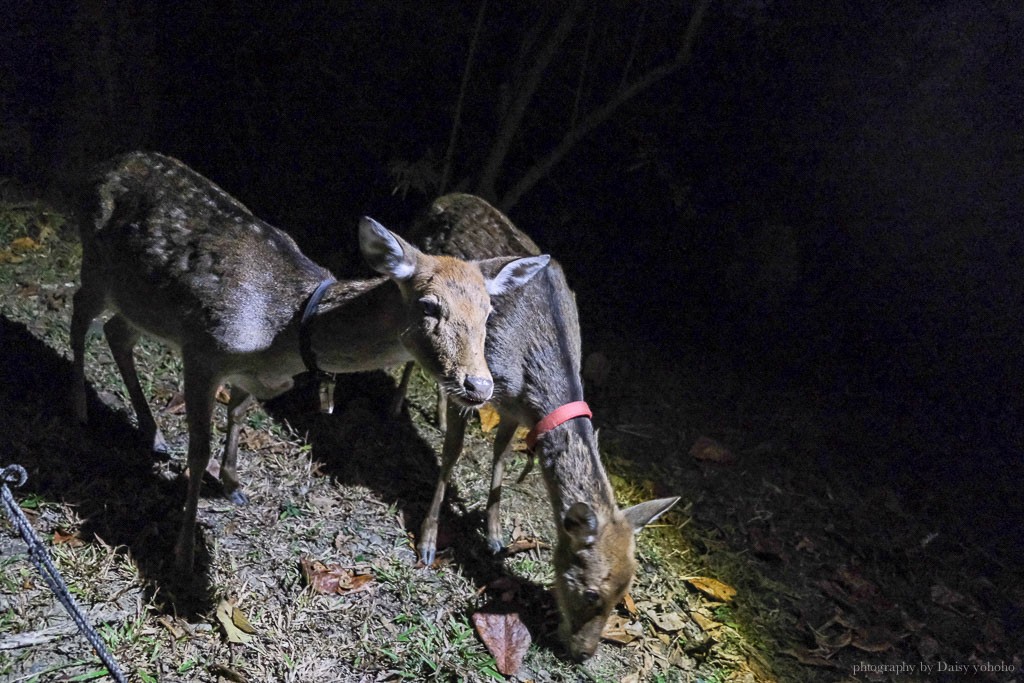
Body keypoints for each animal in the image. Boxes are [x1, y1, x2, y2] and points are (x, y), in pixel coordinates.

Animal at [70, 152, 552, 573]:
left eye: (488, 313)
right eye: (430, 306)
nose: (479, 386)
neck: (284, 335)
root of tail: (103, 163)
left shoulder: (256, 376)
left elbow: (238, 412)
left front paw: (232, 485)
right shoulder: (203, 350)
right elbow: (199, 447)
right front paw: (185, 554)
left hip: (138, 301)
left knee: (116, 332)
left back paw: (150, 433)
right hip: (94, 261)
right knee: (79, 319)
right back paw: (81, 407)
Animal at [399, 193, 679, 663]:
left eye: (624, 593)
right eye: (590, 592)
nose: (584, 653)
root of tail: (441, 199)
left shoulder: (513, 408)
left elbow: (500, 454)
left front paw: (494, 536)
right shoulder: (481, 385)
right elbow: (452, 454)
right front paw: (428, 542)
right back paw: (396, 402)